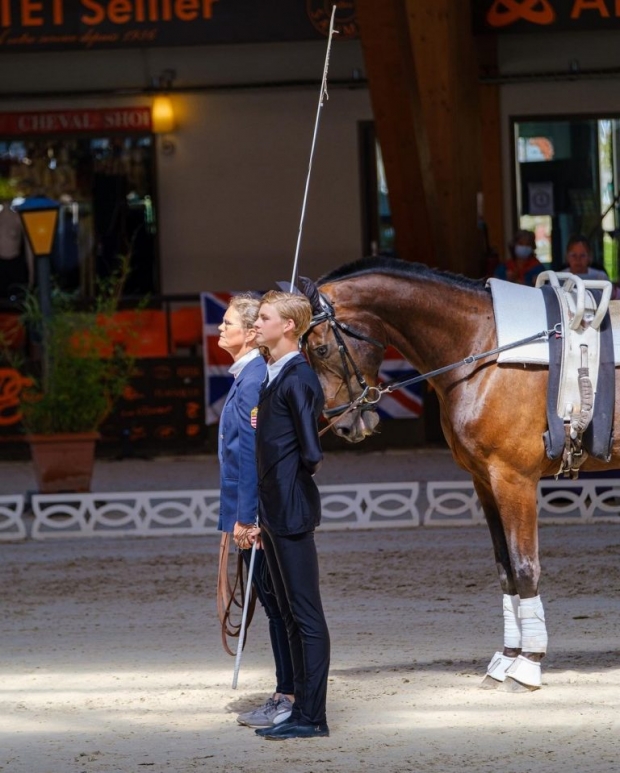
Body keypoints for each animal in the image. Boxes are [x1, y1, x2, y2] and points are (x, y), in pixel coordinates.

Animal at [302, 256, 620, 692]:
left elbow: (525, 566)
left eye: (320, 348)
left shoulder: (514, 480)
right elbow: (505, 570)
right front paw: (506, 659)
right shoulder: (484, 481)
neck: (482, 347)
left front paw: (528, 665)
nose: (346, 425)